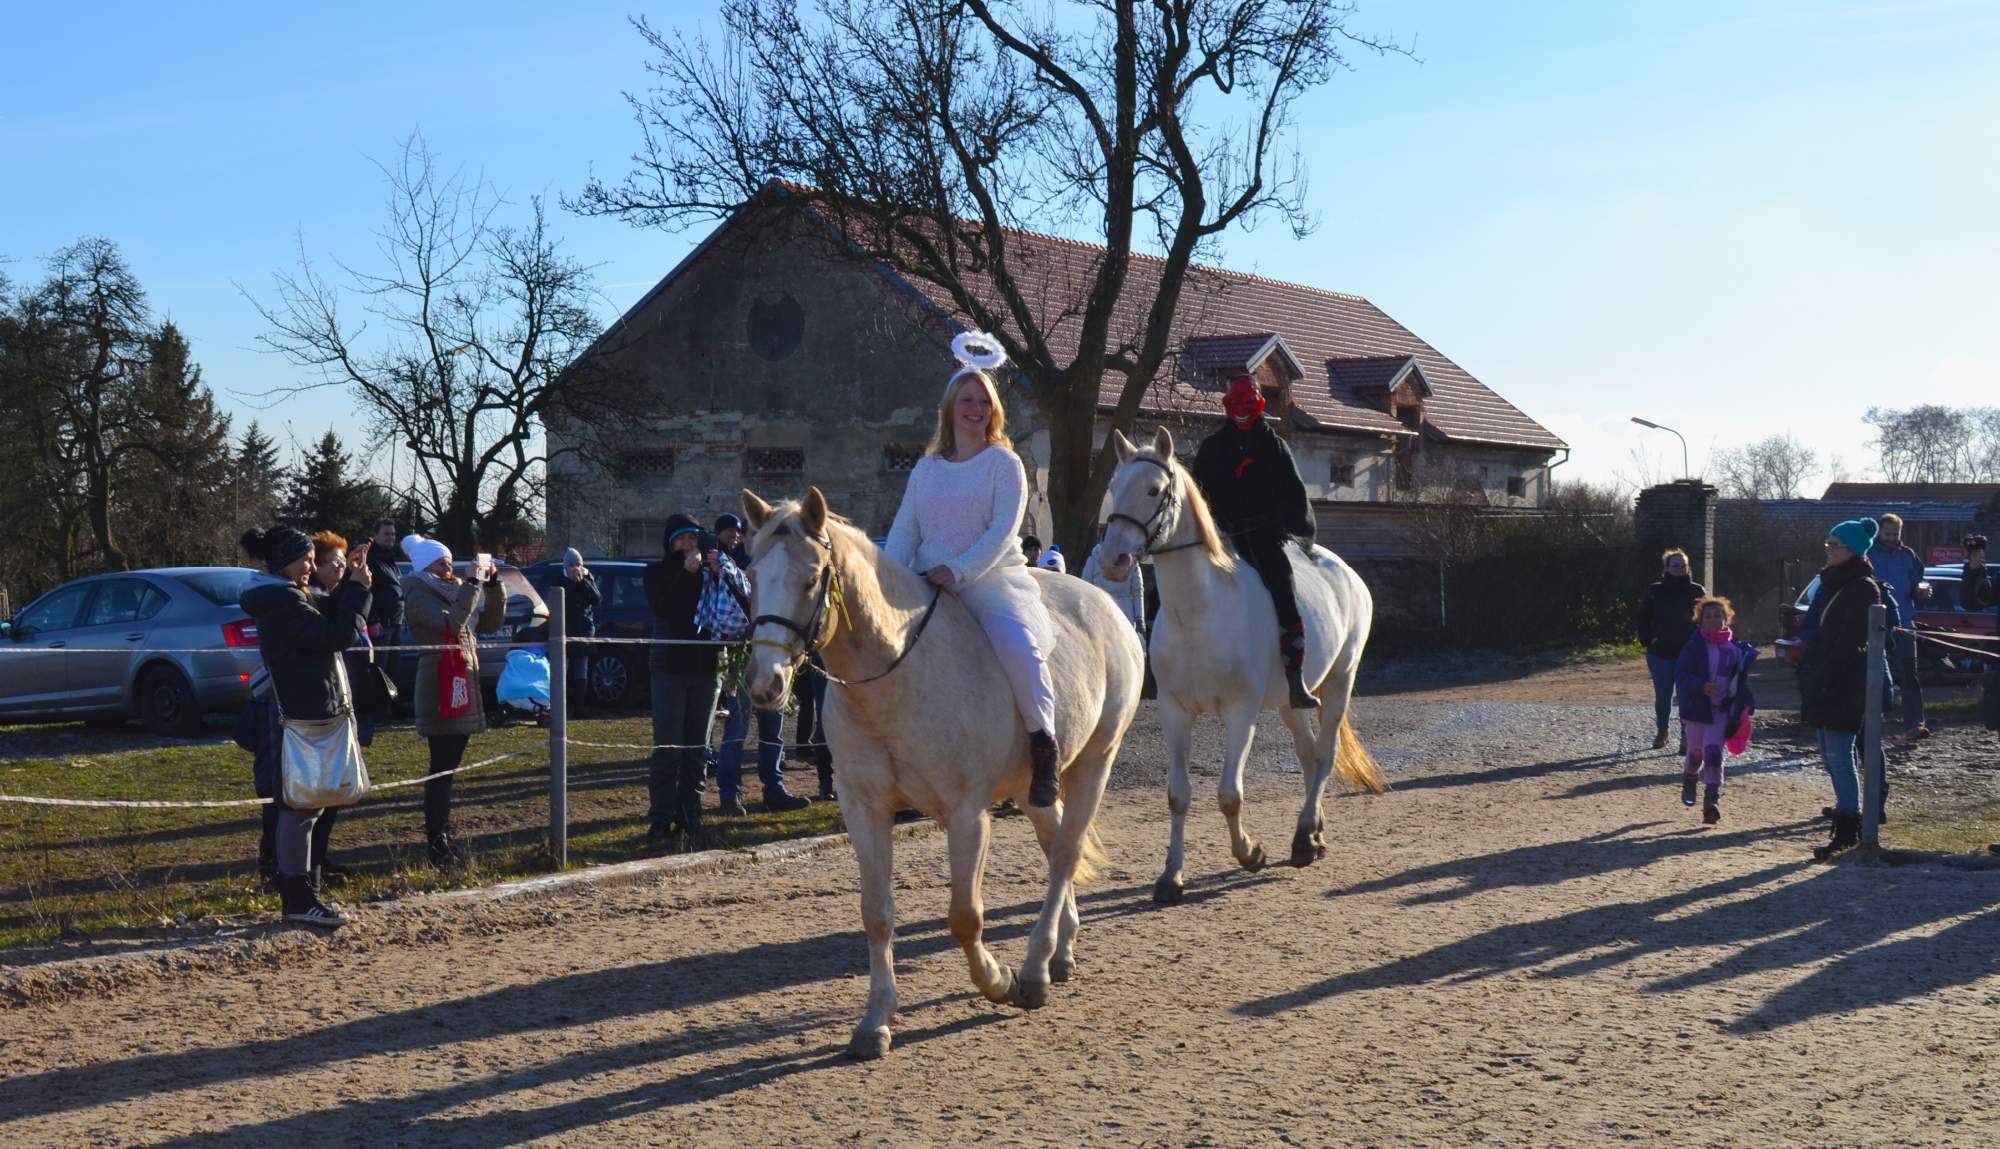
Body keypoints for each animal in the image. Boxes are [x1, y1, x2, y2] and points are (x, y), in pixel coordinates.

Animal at [737, 487, 1146, 1059]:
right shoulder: (864, 810)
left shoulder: (967, 815)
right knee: (1055, 843)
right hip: (1033, 789)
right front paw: (875, 1022)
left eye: (812, 577)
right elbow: (876, 913)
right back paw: (1060, 953)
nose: (764, 685)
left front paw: (999, 982)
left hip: (1095, 762)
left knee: (1065, 852)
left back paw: (1034, 972)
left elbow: (964, 915)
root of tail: (1106, 604)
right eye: (752, 574)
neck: (897, 679)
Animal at [1096, 428, 1385, 904]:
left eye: (1154, 490)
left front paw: (1251, 853)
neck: (1200, 611)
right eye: (1114, 486)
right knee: (1308, 755)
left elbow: (1229, 794)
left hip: (1340, 680)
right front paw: (1171, 876)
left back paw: (1305, 837)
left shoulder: (1239, 714)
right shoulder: (1174, 712)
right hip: (1290, 700)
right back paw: (1313, 836)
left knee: (1324, 754)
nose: (1112, 561)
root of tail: (1346, 572)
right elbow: (1178, 796)